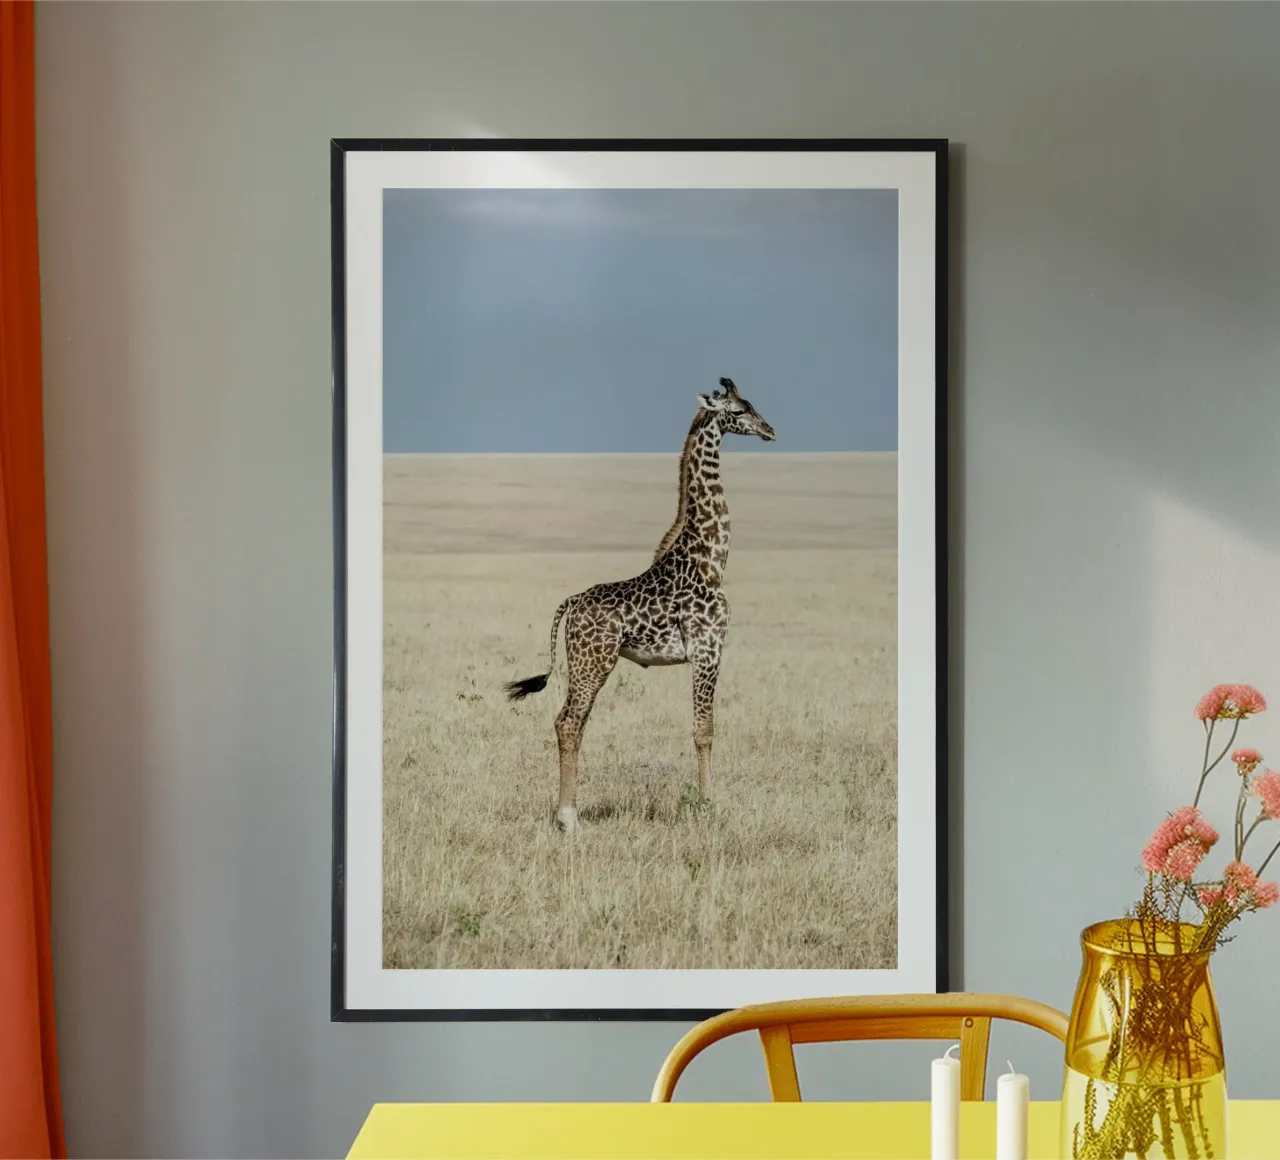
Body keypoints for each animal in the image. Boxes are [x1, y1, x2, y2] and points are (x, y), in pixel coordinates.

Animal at [504, 377, 777, 832]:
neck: (711, 558)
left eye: (752, 405)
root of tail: (571, 603)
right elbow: (704, 730)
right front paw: (707, 806)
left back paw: (568, 814)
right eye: (738, 411)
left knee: (571, 723)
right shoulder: (708, 649)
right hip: (593, 662)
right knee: (568, 722)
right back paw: (568, 819)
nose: (770, 431)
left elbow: (703, 728)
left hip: (586, 664)